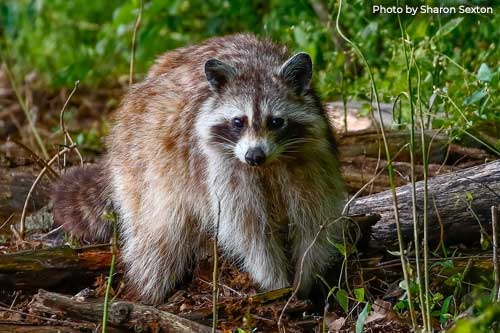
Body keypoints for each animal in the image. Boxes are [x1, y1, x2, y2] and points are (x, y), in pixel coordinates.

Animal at [52, 33, 346, 304]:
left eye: (276, 122)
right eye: (238, 121)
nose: (254, 156)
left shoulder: (311, 159)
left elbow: (313, 222)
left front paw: (306, 276)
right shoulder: (222, 168)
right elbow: (250, 231)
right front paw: (275, 281)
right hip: (143, 162)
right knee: (159, 233)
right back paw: (148, 289)